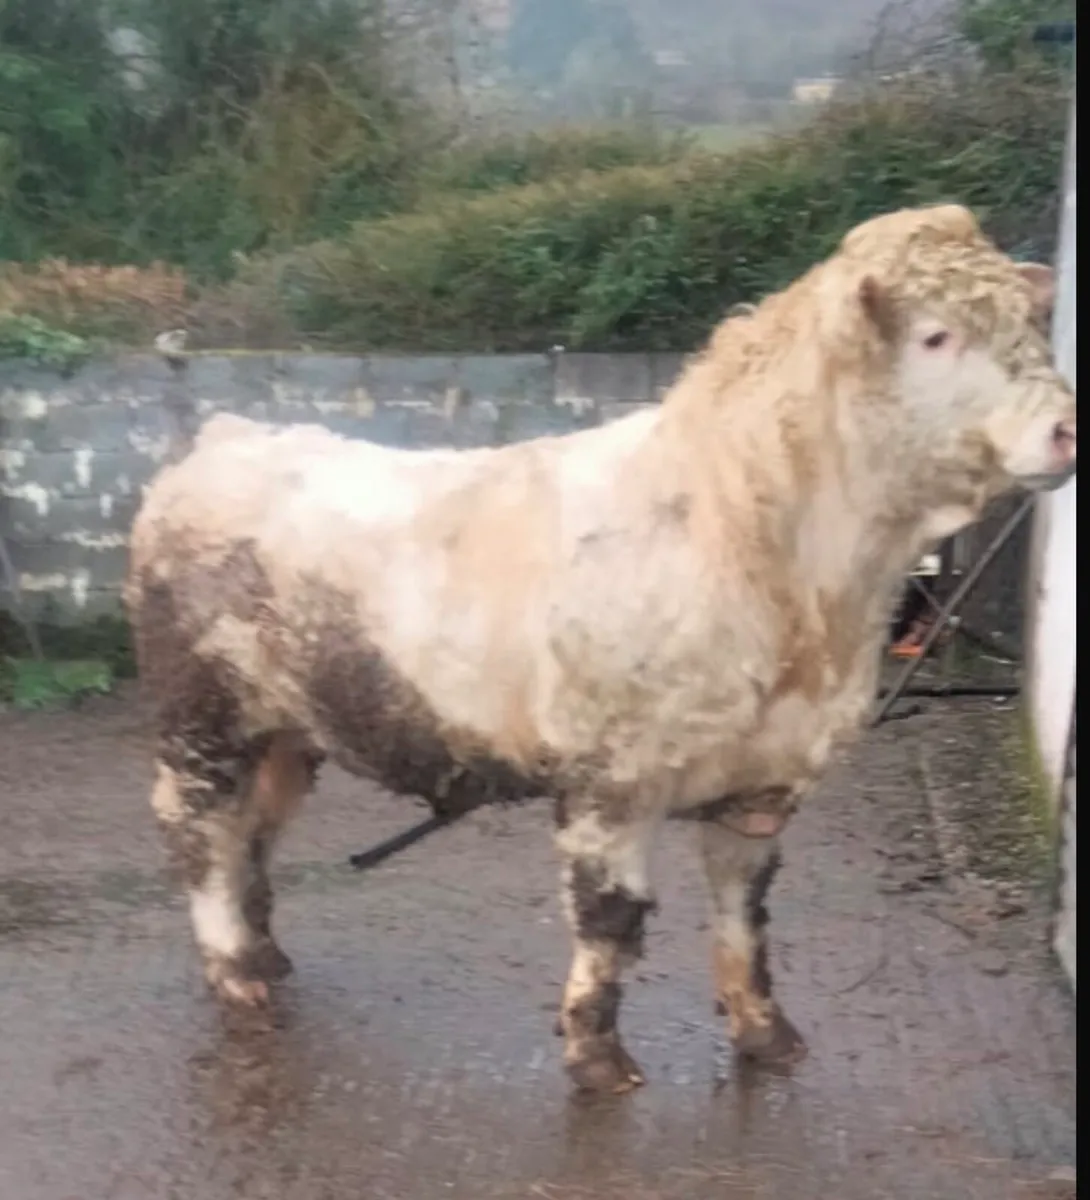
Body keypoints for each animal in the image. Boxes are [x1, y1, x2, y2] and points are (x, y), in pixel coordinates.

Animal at [125, 204, 1076, 1094]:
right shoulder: (611, 781)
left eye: (1032, 325)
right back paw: (238, 981)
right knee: (199, 831)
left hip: (287, 731)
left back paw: (266, 954)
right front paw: (597, 1057)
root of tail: (227, 439)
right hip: (199, 715)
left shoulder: (762, 782)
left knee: (254, 832)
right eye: (936, 335)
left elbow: (746, 914)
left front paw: (768, 1037)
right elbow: (611, 919)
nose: (1069, 427)